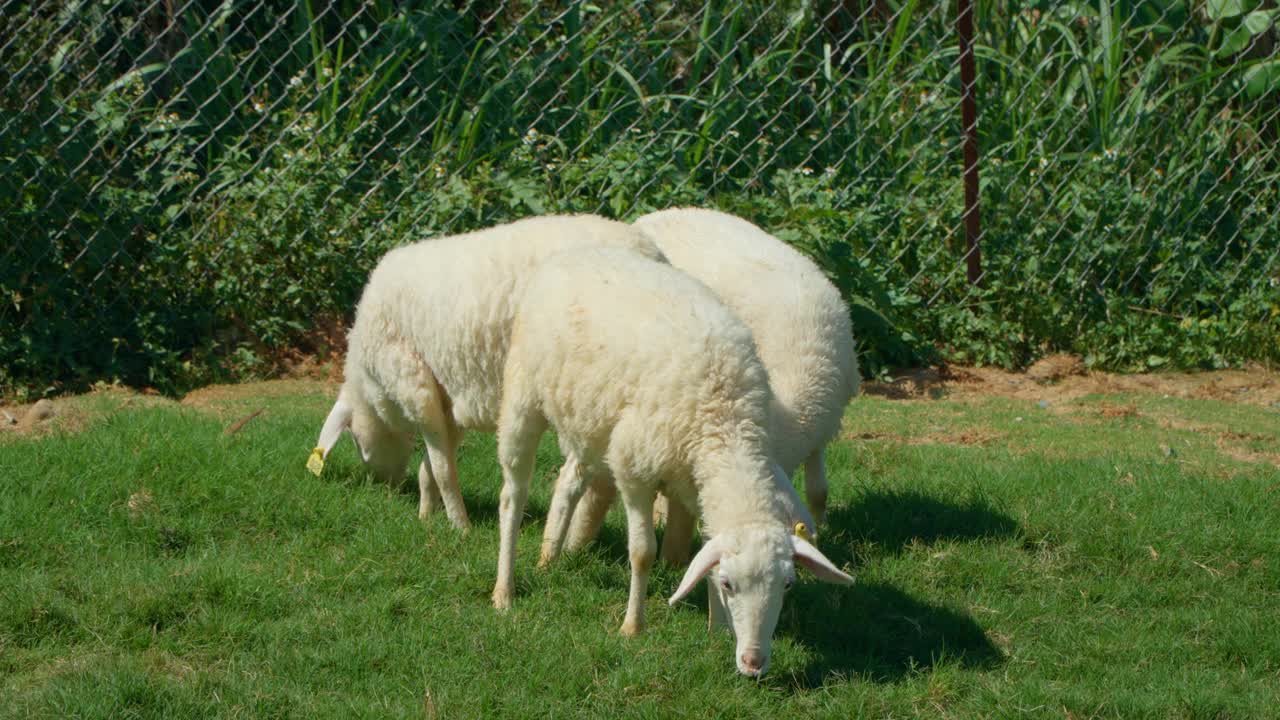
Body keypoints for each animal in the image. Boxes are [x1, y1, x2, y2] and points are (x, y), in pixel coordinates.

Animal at [313, 212, 665, 527]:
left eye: (354, 438)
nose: (386, 487)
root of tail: (653, 252)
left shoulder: (414, 385)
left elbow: (442, 467)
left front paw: (459, 525)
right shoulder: (448, 397)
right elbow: (434, 462)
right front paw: (427, 514)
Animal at [494, 244, 855, 671]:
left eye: (787, 584)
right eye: (731, 584)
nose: (754, 662)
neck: (724, 424)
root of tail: (572, 254)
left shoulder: (695, 486)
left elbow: (706, 549)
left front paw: (718, 631)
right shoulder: (633, 470)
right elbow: (642, 552)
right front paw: (633, 626)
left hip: (591, 421)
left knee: (568, 480)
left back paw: (548, 557)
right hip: (523, 396)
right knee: (512, 497)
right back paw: (504, 590)